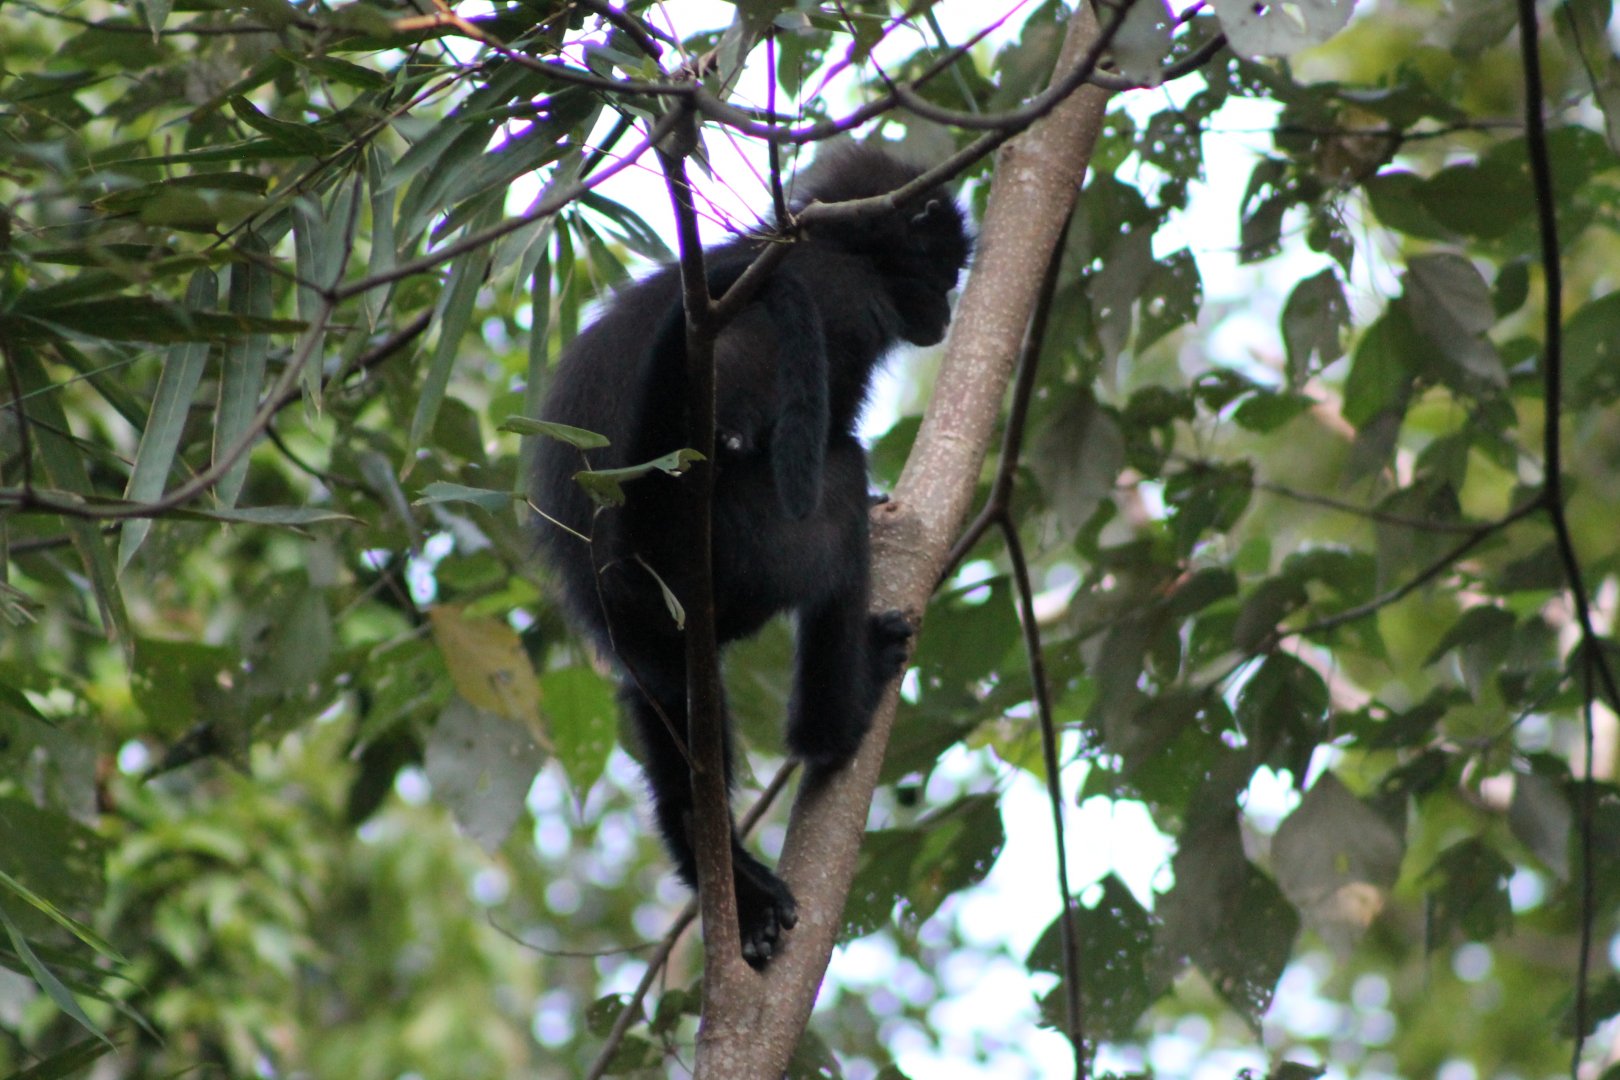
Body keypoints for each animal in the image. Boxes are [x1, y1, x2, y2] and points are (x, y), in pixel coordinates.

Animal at [531, 142, 971, 966]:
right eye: (946, 268)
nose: (951, 307)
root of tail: (631, 551)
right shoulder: (839, 297)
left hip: (654, 628)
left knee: (665, 702)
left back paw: (725, 872)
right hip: (755, 547)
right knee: (836, 473)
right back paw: (835, 724)